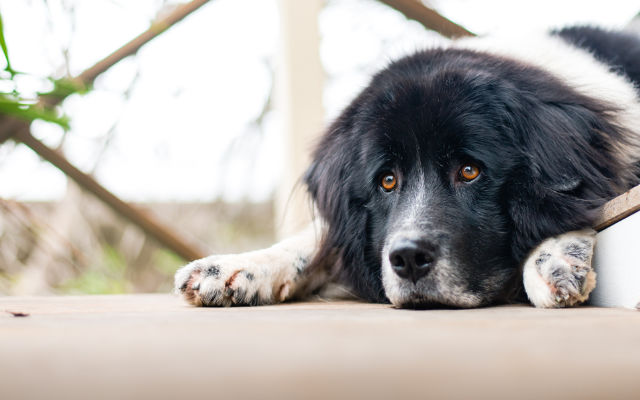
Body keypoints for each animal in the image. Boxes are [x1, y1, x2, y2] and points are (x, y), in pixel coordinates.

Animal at [174, 26, 640, 310]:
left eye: (469, 171)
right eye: (387, 180)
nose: (408, 258)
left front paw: (553, 260)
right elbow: (317, 242)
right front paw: (232, 268)